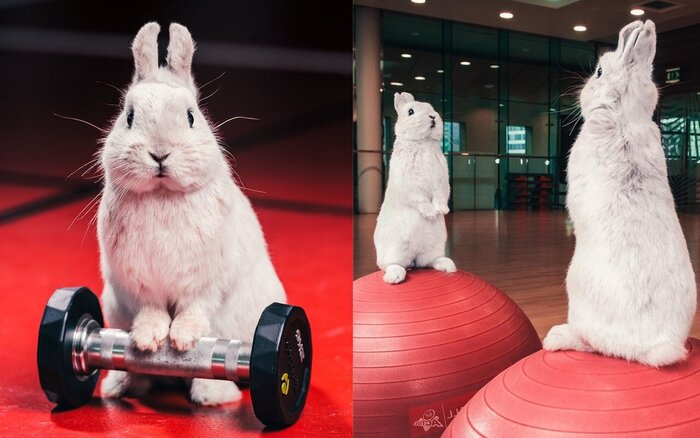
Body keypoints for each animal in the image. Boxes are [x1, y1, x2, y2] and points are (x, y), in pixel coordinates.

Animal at [97, 22, 286, 406]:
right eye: (129, 117)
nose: (159, 153)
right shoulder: (137, 284)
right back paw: (120, 385)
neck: (161, 194)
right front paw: (148, 341)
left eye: (191, 116)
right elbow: (151, 310)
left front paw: (182, 341)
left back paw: (214, 393)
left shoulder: (205, 283)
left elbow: (193, 311)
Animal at [374, 92, 456, 284]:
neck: (423, 142)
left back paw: (447, 265)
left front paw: (442, 211)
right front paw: (431, 213)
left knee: (429, 262)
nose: (433, 116)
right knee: (391, 265)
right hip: (394, 250)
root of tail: (413, 259)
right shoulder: (410, 184)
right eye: (410, 112)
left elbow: (440, 196)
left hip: (434, 248)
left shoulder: (442, 181)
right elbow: (420, 199)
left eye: (432, 108)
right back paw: (395, 276)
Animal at [544, 20, 696, 368]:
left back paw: (556, 338)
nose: (583, 89)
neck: (623, 117)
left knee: (592, 344)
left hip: (577, 291)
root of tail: (656, 346)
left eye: (599, 72)